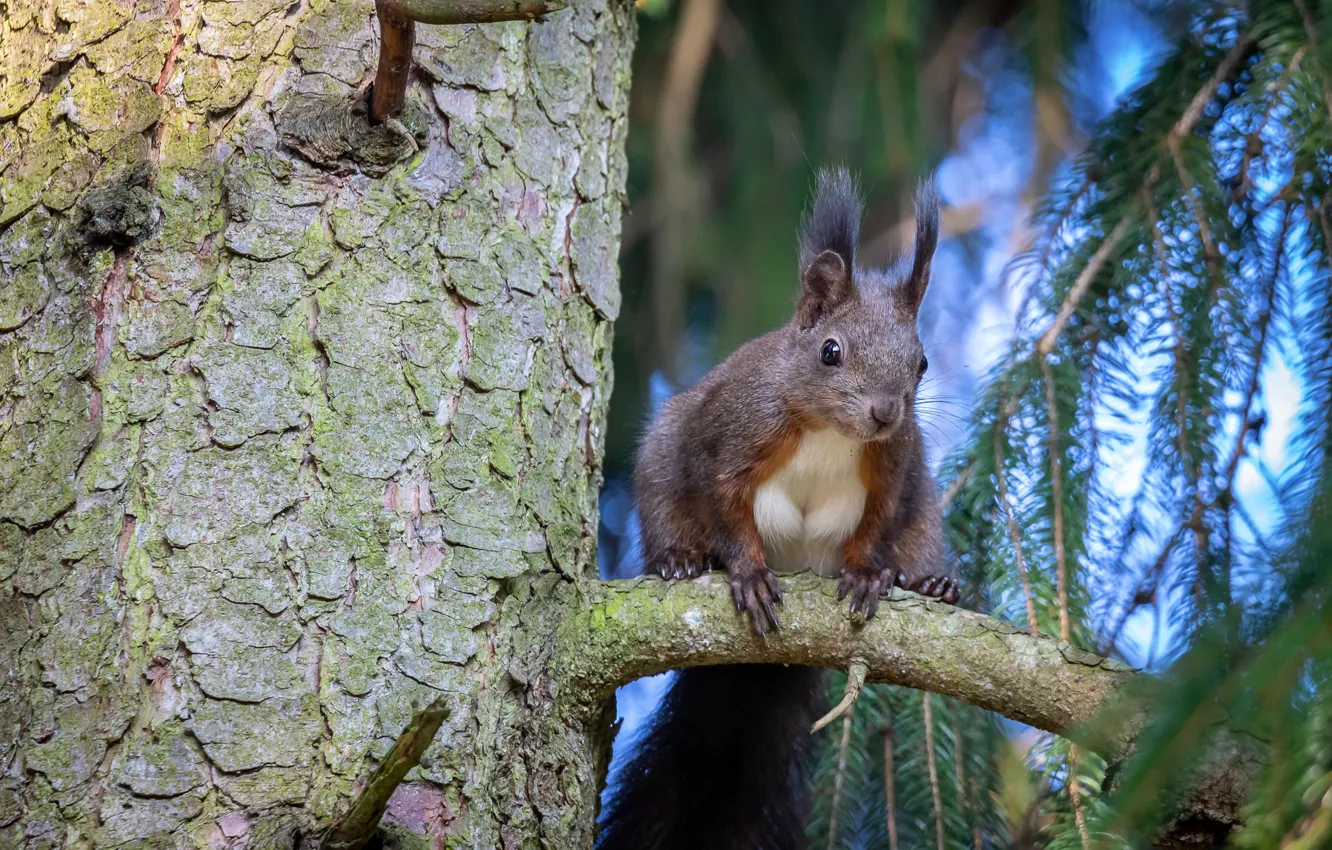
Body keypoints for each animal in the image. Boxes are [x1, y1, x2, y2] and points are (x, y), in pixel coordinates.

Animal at [602, 167, 959, 850]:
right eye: (830, 351)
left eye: (922, 362)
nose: (886, 412)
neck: (830, 431)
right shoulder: (730, 435)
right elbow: (722, 499)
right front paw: (746, 573)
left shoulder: (894, 468)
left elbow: (876, 526)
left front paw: (867, 575)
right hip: (660, 468)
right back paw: (680, 560)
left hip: (925, 512)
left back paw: (933, 583)